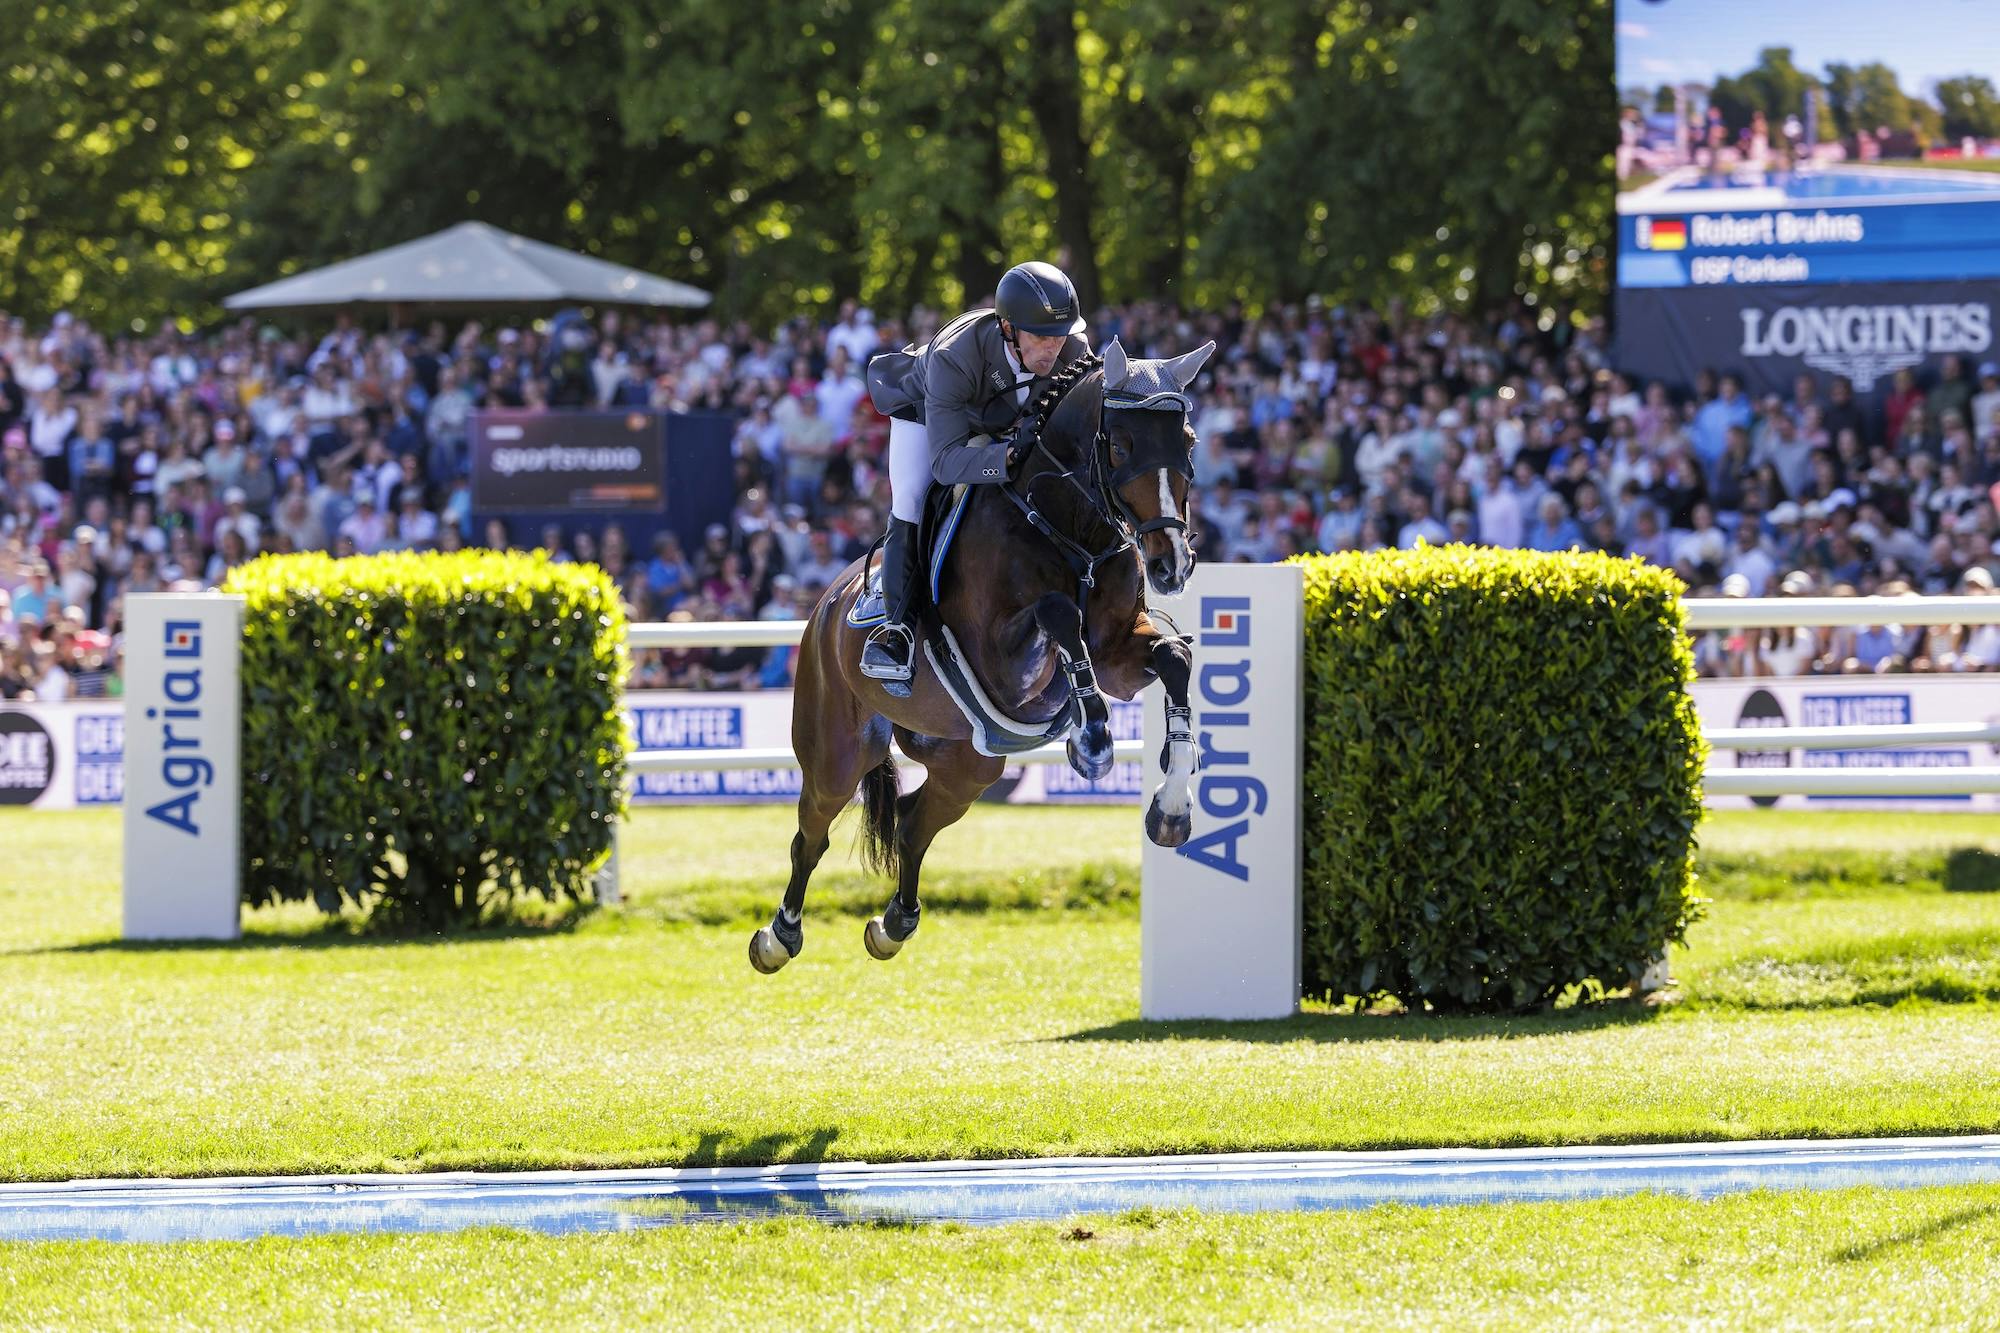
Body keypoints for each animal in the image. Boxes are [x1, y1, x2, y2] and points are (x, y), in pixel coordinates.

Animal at [752, 338, 1208, 972]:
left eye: (1187, 442)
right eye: (1121, 445)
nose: (1171, 566)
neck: (1071, 527)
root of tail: (824, 606)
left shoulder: (1118, 656)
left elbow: (1172, 659)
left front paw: (1171, 810)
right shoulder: (1003, 661)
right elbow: (1058, 614)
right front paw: (1092, 740)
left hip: (968, 762)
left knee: (913, 823)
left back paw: (893, 925)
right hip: (838, 751)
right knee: (812, 834)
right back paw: (779, 936)